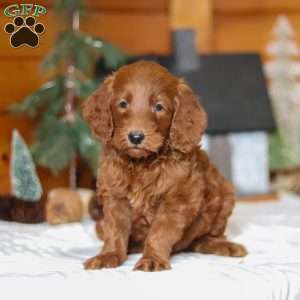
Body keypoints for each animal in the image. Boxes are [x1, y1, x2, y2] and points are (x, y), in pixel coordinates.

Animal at [82, 60, 246, 272]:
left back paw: (223, 245)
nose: (136, 137)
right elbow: (114, 230)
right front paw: (109, 255)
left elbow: (159, 232)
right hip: (98, 223)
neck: (142, 163)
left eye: (159, 107)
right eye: (123, 104)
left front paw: (152, 258)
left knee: (201, 239)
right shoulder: (114, 197)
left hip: (224, 195)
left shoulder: (178, 199)